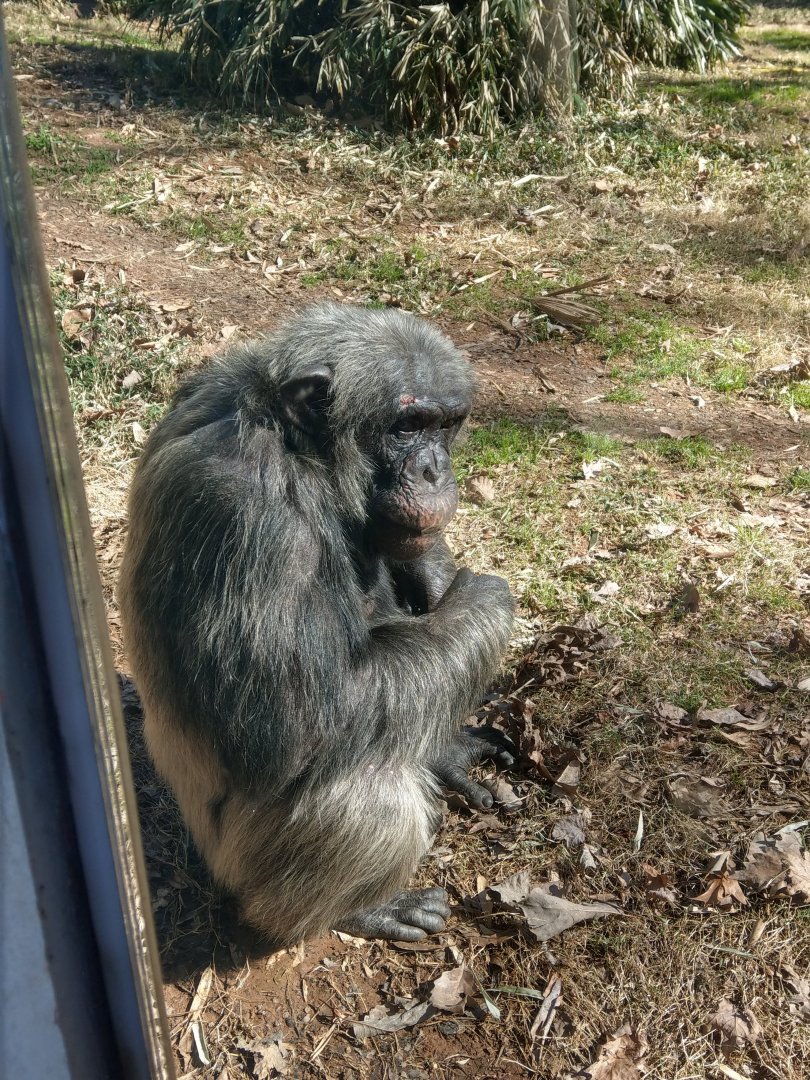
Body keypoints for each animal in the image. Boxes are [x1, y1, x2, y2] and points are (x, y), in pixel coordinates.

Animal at [119, 302, 515, 945]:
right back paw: (369, 907)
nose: (434, 468)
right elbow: (299, 724)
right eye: (406, 427)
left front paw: (436, 571)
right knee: (364, 787)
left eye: (446, 425)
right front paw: (482, 600)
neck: (302, 455)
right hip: (243, 867)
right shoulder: (253, 521)